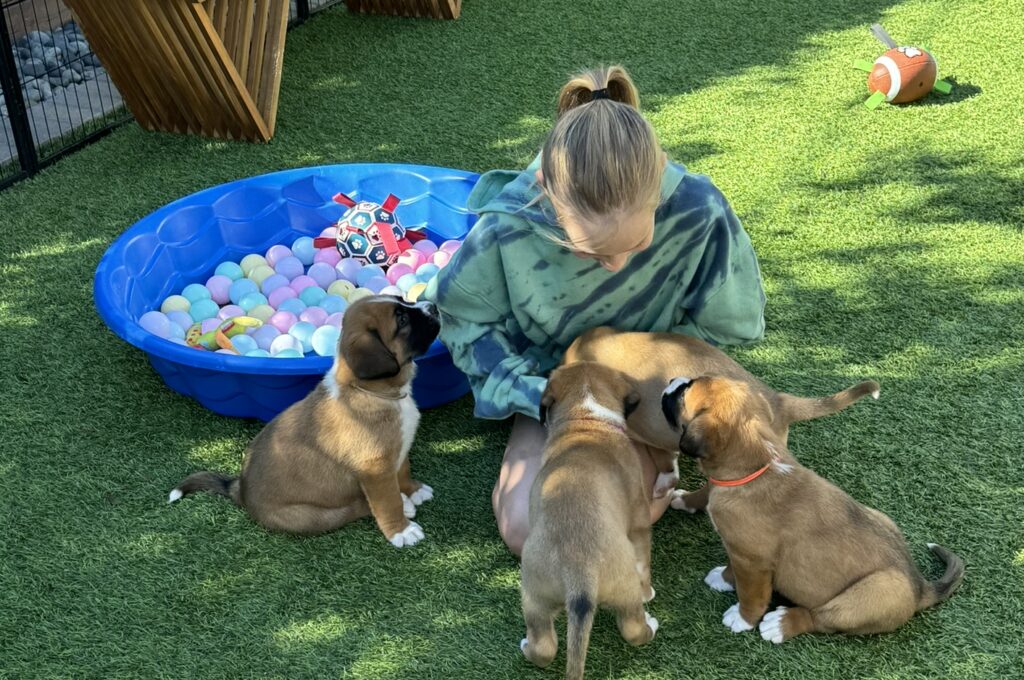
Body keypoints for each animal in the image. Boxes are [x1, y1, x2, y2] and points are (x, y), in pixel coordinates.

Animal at [168, 296, 440, 548]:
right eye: (401, 320)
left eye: (403, 301)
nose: (433, 306)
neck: (370, 391)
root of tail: (239, 489)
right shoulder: (375, 469)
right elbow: (387, 502)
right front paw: (401, 530)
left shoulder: (398, 449)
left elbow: (403, 470)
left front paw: (413, 490)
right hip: (309, 516)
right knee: (351, 510)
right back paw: (400, 507)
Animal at [520, 360, 655, 680]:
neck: (586, 416)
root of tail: (579, 571)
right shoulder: (640, 524)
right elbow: (645, 561)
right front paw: (650, 592)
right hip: (624, 587)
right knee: (633, 628)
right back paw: (650, 625)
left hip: (534, 593)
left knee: (544, 646)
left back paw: (527, 647)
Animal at [659, 376, 962, 643]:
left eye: (685, 392)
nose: (671, 380)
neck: (755, 467)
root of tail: (920, 586)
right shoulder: (740, 552)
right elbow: (734, 570)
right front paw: (723, 578)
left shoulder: (753, 561)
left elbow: (752, 595)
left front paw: (742, 619)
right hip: (882, 517)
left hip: (875, 591)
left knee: (821, 618)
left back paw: (780, 624)